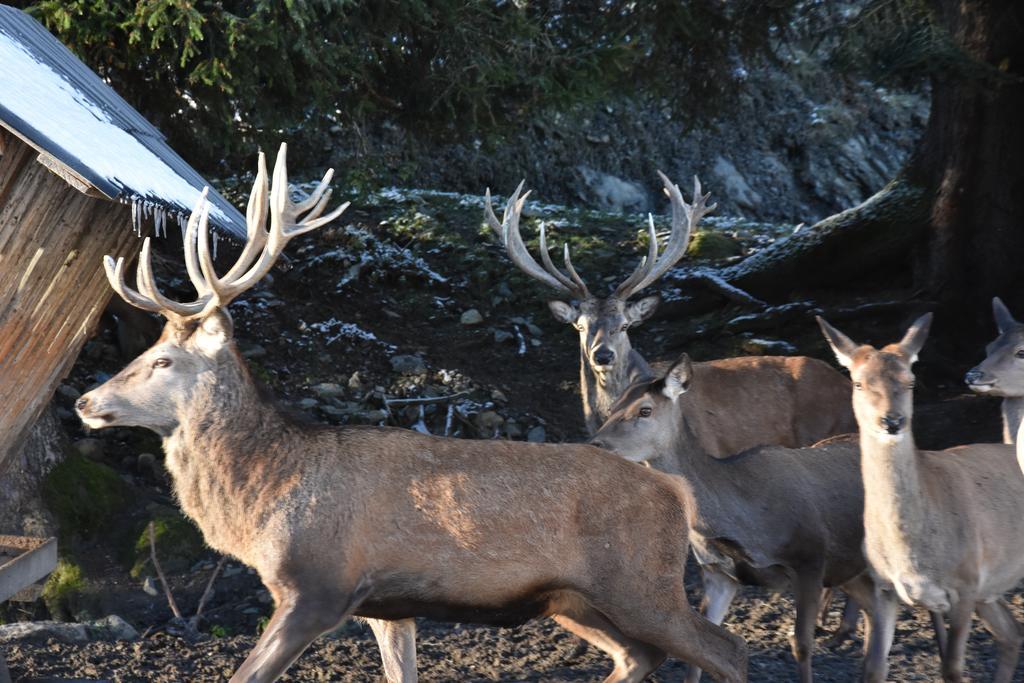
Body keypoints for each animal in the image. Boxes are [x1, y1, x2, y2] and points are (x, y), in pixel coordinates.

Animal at [74, 145, 745, 683]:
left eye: (163, 359)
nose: (86, 401)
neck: (270, 495)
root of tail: (675, 491)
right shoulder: (385, 608)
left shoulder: (318, 587)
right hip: (574, 598)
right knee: (642, 655)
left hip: (643, 583)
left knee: (727, 650)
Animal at [593, 356, 880, 683]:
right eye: (611, 408)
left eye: (645, 410)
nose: (595, 443)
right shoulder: (717, 572)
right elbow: (700, 653)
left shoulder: (809, 557)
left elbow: (802, 645)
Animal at [819, 315, 1024, 683]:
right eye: (858, 383)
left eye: (911, 382)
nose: (892, 421)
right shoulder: (884, 587)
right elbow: (873, 666)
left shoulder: (966, 584)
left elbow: (952, 668)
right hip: (991, 589)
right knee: (1012, 633)